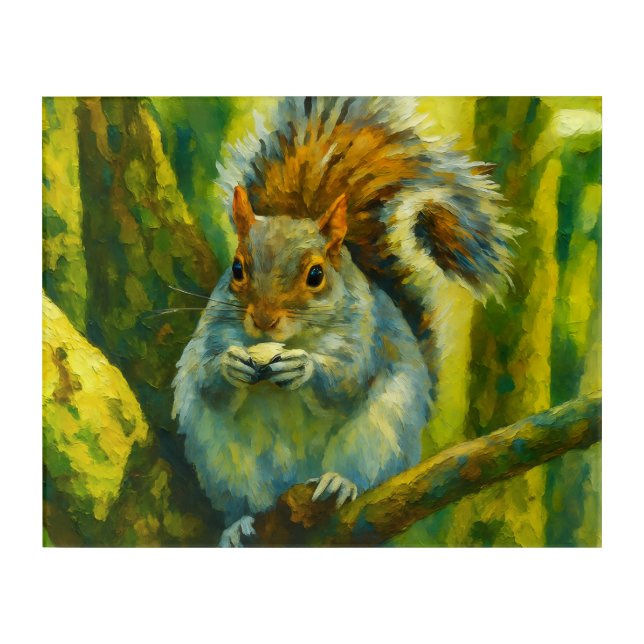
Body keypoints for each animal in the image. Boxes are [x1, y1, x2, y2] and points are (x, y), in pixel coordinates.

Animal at [172, 97, 514, 546]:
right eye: (237, 269)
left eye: (316, 275)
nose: (263, 321)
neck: (298, 336)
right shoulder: (213, 329)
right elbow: (208, 381)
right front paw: (231, 366)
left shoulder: (366, 333)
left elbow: (347, 379)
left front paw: (304, 367)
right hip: (224, 462)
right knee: (242, 498)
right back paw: (239, 524)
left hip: (381, 435)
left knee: (362, 472)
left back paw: (339, 483)